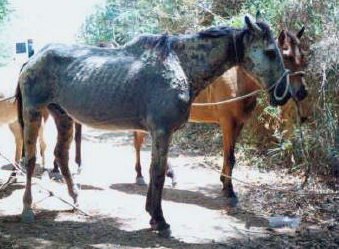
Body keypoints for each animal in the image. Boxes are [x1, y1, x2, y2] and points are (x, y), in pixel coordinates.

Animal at [132, 27, 308, 197]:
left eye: (302, 57)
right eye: (287, 56)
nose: (302, 92)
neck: (238, 80)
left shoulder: (239, 123)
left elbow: (229, 155)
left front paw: (224, 181)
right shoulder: (228, 122)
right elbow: (230, 157)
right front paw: (229, 189)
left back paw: (170, 174)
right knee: (138, 142)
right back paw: (140, 175)